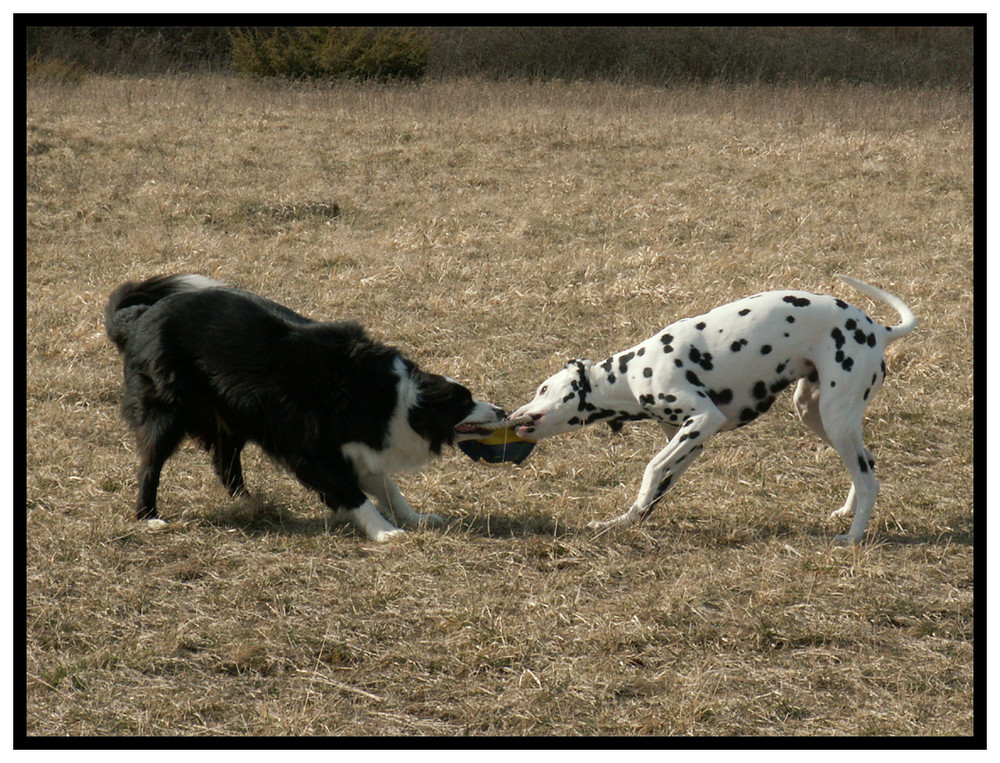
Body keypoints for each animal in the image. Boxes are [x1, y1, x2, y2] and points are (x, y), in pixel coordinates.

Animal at [107, 274, 508, 544]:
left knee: (225, 459)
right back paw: (149, 517)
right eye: (465, 402)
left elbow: (389, 488)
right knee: (151, 464)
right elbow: (355, 496)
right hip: (167, 411)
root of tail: (138, 317)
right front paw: (385, 533)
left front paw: (417, 518)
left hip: (233, 412)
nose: (503, 410)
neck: (397, 399)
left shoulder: (358, 448)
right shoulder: (313, 451)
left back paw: (251, 503)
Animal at [512, 278, 916, 548]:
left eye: (543, 389)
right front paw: (622, 521)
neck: (630, 374)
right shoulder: (690, 442)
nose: (516, 413)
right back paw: (847, 513)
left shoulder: (702, 422)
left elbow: (651, 468)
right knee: (868, 462)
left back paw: (852, 537)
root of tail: (878, 329)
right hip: (815, 414)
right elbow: (655, 491)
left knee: (868, 480)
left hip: (835, 418)